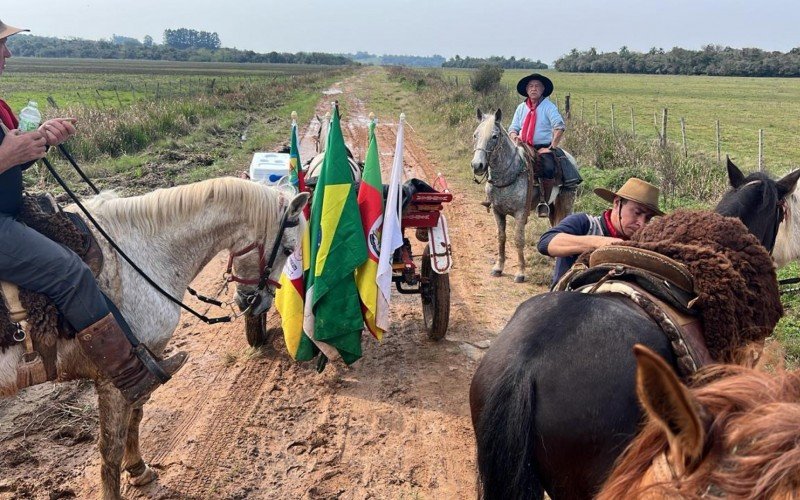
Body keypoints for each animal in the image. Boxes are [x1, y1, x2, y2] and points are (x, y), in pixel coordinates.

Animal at [0, 178, 308, 498]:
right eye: (288, 249)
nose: (260, 303)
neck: (139, 252)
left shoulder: (143, 367)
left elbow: (135, 417)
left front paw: (138, 469)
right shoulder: (113, 378)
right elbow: (111, 446)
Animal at [468, 108, 576, 284]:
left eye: (494, 136)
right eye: (475, 135)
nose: (478, 165)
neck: (509, 174)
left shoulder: (520, 213)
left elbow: (518, 240)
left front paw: (520, 273)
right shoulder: (497, 212)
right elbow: (501, 238)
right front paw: (498, 268)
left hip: (566, 202)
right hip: (552, 208)